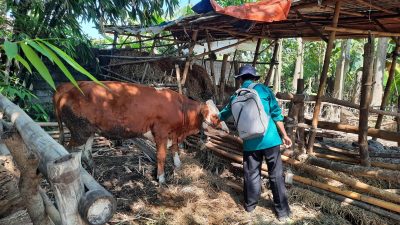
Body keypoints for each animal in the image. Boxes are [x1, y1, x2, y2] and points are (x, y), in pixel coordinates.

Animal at [53, 81, 228, 183]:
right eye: (215, 116)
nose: (227, 129)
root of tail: (66, 91)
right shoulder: (161, 132)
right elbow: (161, 156)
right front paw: (161, 178)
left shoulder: (173, 134)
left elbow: (175, 149)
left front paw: (178, 165)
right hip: (79, 132)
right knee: (69, 151)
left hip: (89, 131)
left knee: (86, 152)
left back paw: (94, 171)